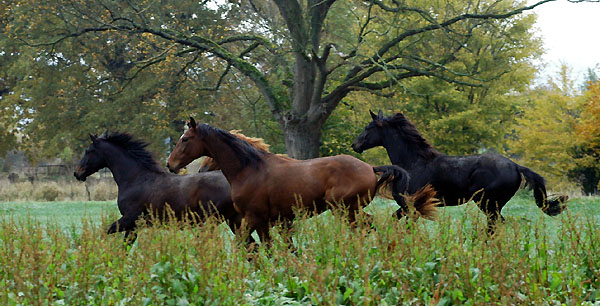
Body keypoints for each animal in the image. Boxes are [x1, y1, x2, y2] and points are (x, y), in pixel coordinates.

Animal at [74, 133, 241, 243]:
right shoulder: (133, 226)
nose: (77, 173)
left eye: (89, 151)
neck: (136, 178)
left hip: (211, 222)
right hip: (234, 220)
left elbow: (106, 232)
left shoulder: (129, 219)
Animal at [166, 118, 438, 245]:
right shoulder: (266, 221)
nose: (170, 165)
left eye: (185, 139)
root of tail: (371, 168)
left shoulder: (253, 217)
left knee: (367, 228)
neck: (250, 168)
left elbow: (242, 244)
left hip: (344, 209)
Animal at [352, 110, 568, 232]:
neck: (414, 163)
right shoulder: (410, 207)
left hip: (488, 204)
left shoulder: (411, 206)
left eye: (368, 127)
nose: (355, 145)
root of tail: (516, 166)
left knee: (496, 226)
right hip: (492, 206)